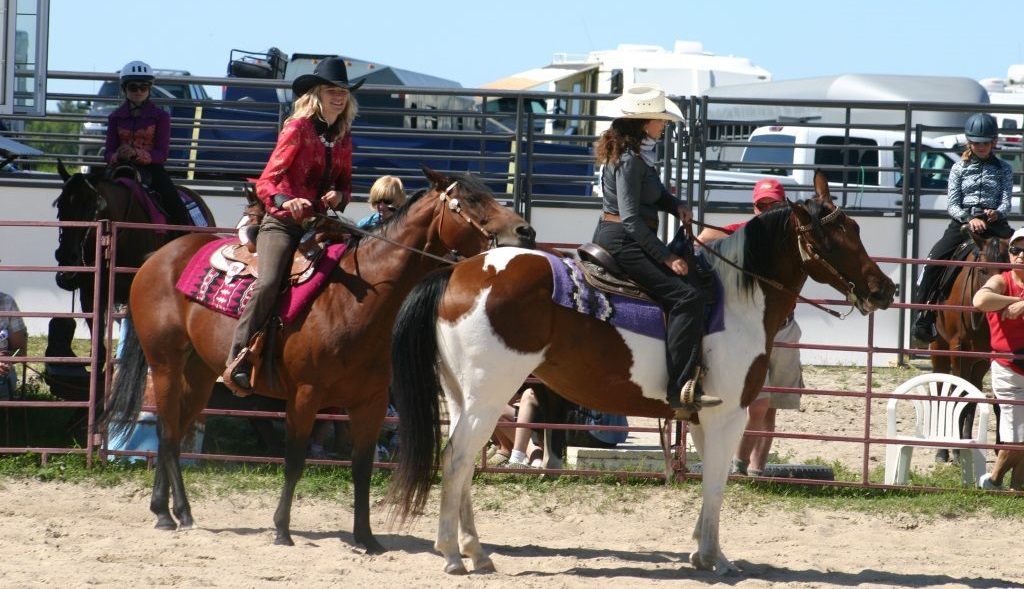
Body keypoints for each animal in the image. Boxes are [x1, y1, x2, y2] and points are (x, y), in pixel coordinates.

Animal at [100, 167, 535, 553]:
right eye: (471, 200)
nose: (525, 232)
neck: (358, 300)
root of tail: (157, 258)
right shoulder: (306, 395)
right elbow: (294, 461)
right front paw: (281, 530)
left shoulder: (371, 401)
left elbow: (361, 467)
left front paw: (366, 539)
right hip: (166, 365)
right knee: (167, 429)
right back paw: (169, 513)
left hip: (202, 374)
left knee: (174, 432)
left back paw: (174, 512)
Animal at [386, 171, 896, 574]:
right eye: (838, 234)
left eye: (855, 227)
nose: (884, 289)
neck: (736, 300)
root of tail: (455, 274)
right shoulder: (728, 414)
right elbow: (717, 481)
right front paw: (719, 560)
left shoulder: (701, 415)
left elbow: (709, 481)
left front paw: (702, 553)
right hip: (489, 396)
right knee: (456, 460)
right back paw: (454, 555)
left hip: (464, 397)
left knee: (464, 462)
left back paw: (477, 551)